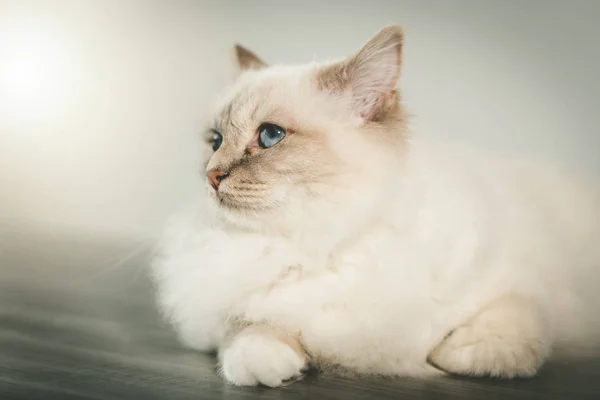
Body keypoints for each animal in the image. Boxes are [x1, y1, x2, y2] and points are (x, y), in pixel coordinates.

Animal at [151, 25, 600, 388]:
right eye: (214, 141)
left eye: (271, 136)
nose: (211, 175)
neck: (323, 241)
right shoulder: (233, 310)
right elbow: (247, 332)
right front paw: (273, 368)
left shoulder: (516, 286)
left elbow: (506, 341)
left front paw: (444, 356)